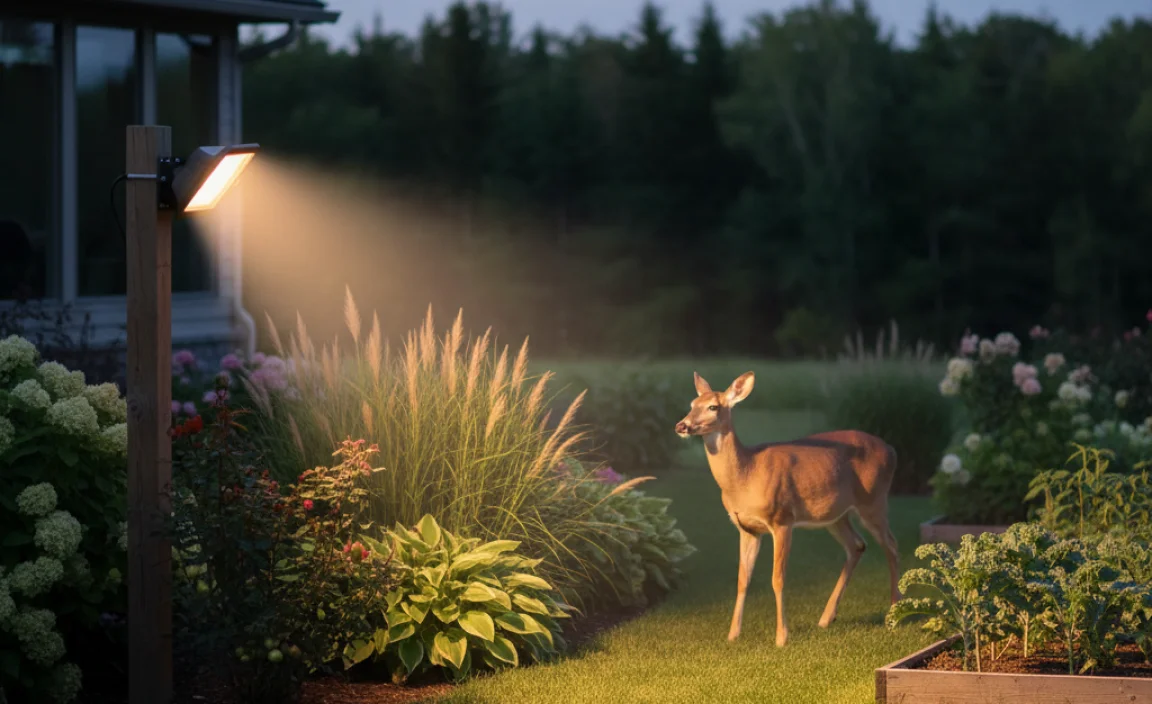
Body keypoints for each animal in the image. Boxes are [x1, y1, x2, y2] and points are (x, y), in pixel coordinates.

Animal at [674, 371, 900, 647]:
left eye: (713, 407)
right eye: (692, 404)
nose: (681, 426)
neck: (745, 477)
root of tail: (892, 450)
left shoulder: (782, 520)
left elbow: (777, 578)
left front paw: (781, 637)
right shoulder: (746, 528)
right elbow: (742, 580)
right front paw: (732, 635)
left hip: (874, 500)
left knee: (891, 546)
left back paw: (894, 612)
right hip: (835, 515)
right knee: (857, 545)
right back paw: (826, 618)